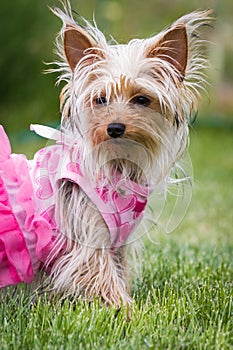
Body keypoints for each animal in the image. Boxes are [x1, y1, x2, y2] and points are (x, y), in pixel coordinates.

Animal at [0, 2, 211, 306]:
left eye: (142, 99)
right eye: (101, 100)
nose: (114, 127)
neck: (119, 168)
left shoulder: (115, 244)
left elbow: (118, 272)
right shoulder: (87, 238)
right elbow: (104, 278)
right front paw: (128, 311)